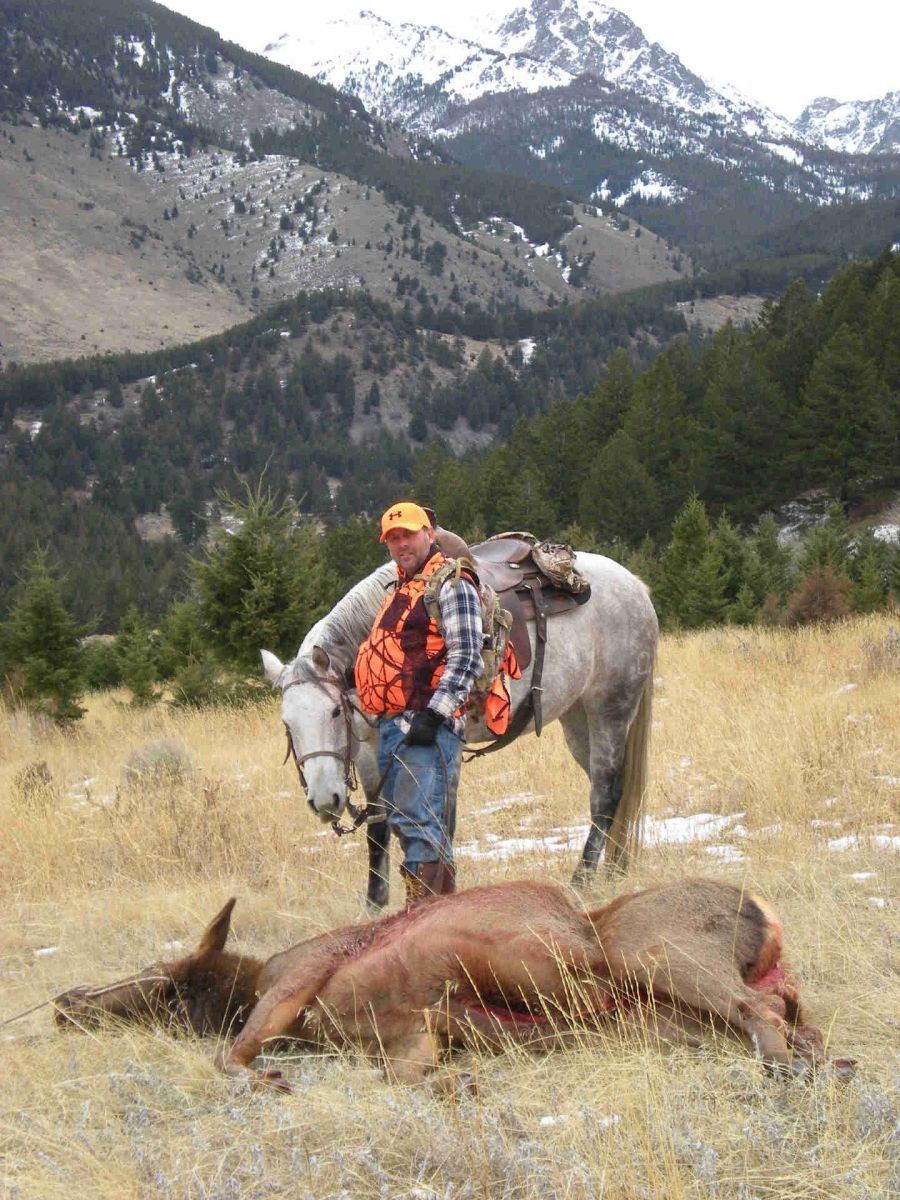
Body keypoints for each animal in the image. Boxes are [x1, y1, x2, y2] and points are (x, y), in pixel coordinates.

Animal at [54, 878, 853, 1091]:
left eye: (164, 989)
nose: (65, 1002)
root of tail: (766, 916)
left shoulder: (296, 982)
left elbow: (229, 1053)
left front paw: (268, 1076)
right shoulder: (414, 1031)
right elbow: (404, 1075)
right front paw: (456, 1084)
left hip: (644, 949)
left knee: (759, 1008)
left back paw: (782, 1069)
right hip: (677, 1009)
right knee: (798, 1017)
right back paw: (822, 1063)